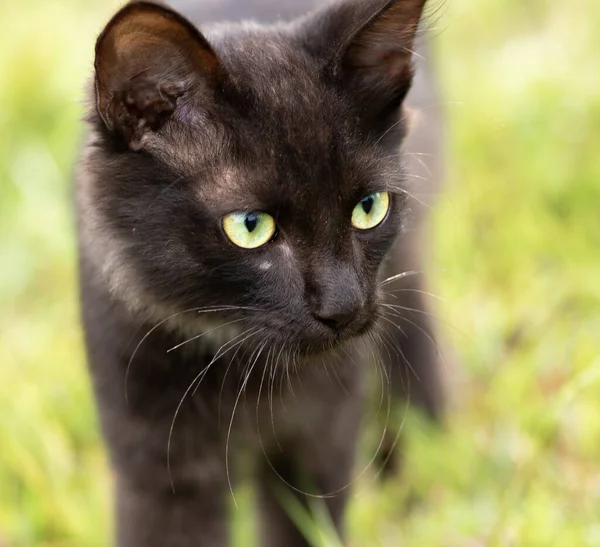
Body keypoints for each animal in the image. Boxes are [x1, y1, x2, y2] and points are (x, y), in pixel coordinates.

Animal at [75, 2, 446, 544]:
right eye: (250, 227)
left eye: (369, 208)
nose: (344, 306)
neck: (244, 367)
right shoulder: (158, 462)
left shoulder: (323, 436)